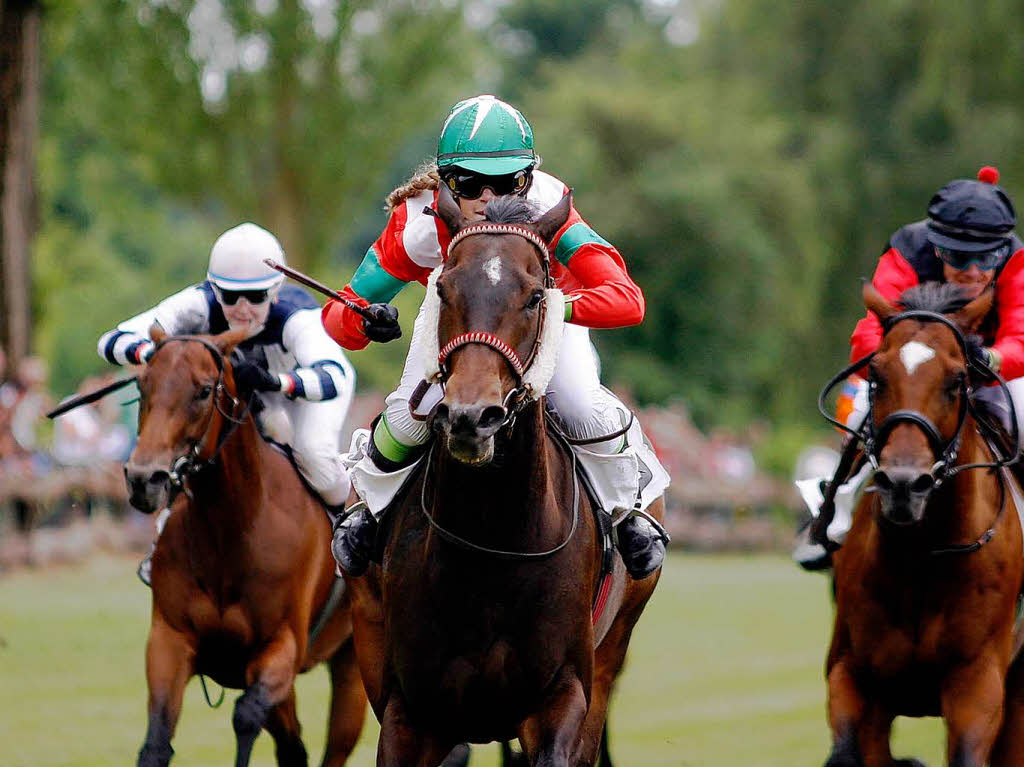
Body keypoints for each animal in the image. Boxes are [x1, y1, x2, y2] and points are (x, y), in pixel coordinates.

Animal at [127, 329, 366, 765]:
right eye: (142, 385)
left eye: (204, 390)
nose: (143, 479)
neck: (232, 533)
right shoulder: (170, 641)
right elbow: (155, 743)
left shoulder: (282, 647)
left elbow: (246, 717)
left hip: (353, 661)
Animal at [823, 280, 1024, 765]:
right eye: (876, 379)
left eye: (957, 381)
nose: (903, 484)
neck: (923, 557)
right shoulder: (854, 674)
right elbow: (847, 749)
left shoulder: (979, 682)